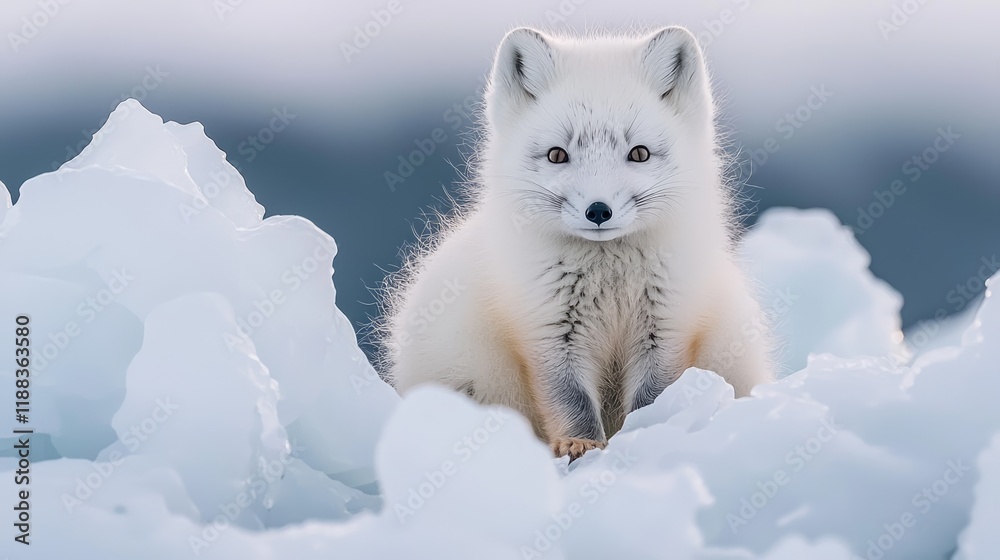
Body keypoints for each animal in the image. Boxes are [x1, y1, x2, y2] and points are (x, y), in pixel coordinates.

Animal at [381, 26, 773, 460]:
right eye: (557, 155)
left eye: (639, 153)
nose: (598, 210)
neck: (610, 274)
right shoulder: (549, 330)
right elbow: (571, 400)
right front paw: (581, 444)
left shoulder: (666, 325)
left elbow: (652, 397)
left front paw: (644, 432)